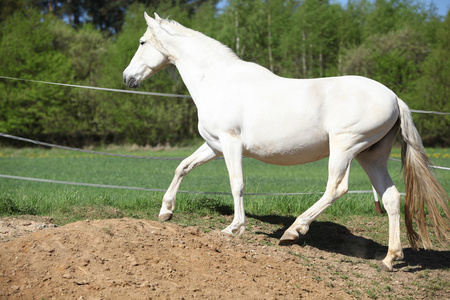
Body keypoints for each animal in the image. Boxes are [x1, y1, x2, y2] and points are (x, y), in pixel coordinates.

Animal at [124, 12, 450, 272]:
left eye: (141, 42)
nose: (127, 78)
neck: (217, 80)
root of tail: (394, 97)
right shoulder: (214, 146)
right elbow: (182, 167)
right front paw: (166, 211)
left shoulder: (230, 144)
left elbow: (236, 183)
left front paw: (233, 228)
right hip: (371, 155)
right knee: (392, 198)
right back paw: (389, 259)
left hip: (344, 148)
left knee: (337, 188)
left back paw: (294, 231)